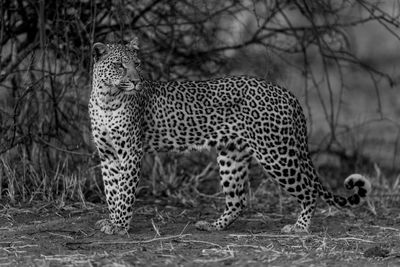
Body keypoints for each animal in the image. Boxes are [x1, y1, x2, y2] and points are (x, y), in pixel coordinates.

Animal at [89, 36, 370, 236]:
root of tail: (285, 92)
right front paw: (112, 221)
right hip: (232, 155)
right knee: (238, 200)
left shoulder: (131, 153)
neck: (107, 99)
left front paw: (120, 225)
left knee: (309, 189)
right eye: (119, 66)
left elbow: (125, 192)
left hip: (275, 154)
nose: (136, 81)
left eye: (136, 64)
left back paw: (299, 228)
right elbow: (112, 190)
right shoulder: (108, 155)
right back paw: (213, 226)